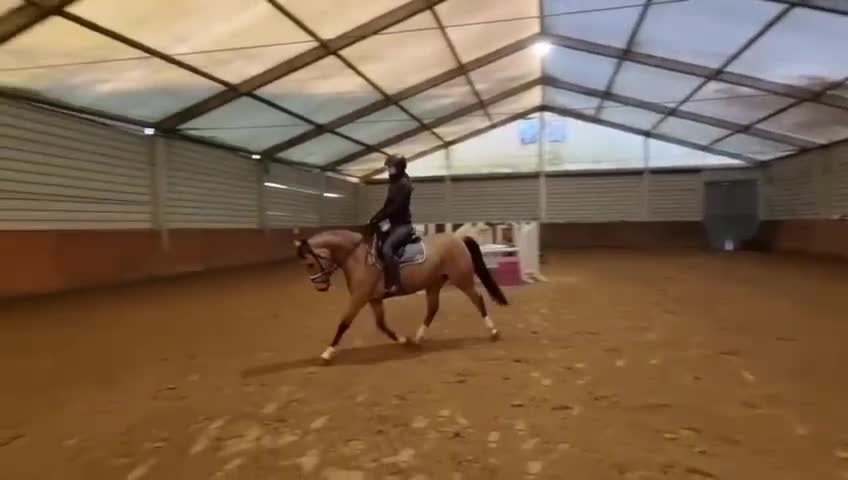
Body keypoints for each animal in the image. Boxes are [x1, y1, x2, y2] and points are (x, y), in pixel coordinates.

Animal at [293, 226, 509, 363]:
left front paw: (327, 353)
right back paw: (417, 339)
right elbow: (381, 324)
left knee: (477, 299)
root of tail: (458, 239)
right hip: (434, 284)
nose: (320, 287)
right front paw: (403, 340)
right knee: (432, 309)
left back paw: (493, 331)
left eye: (310, 264)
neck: (358, 259)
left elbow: (344, 324)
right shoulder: (374, 300)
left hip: (461, 279)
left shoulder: (359, 298)